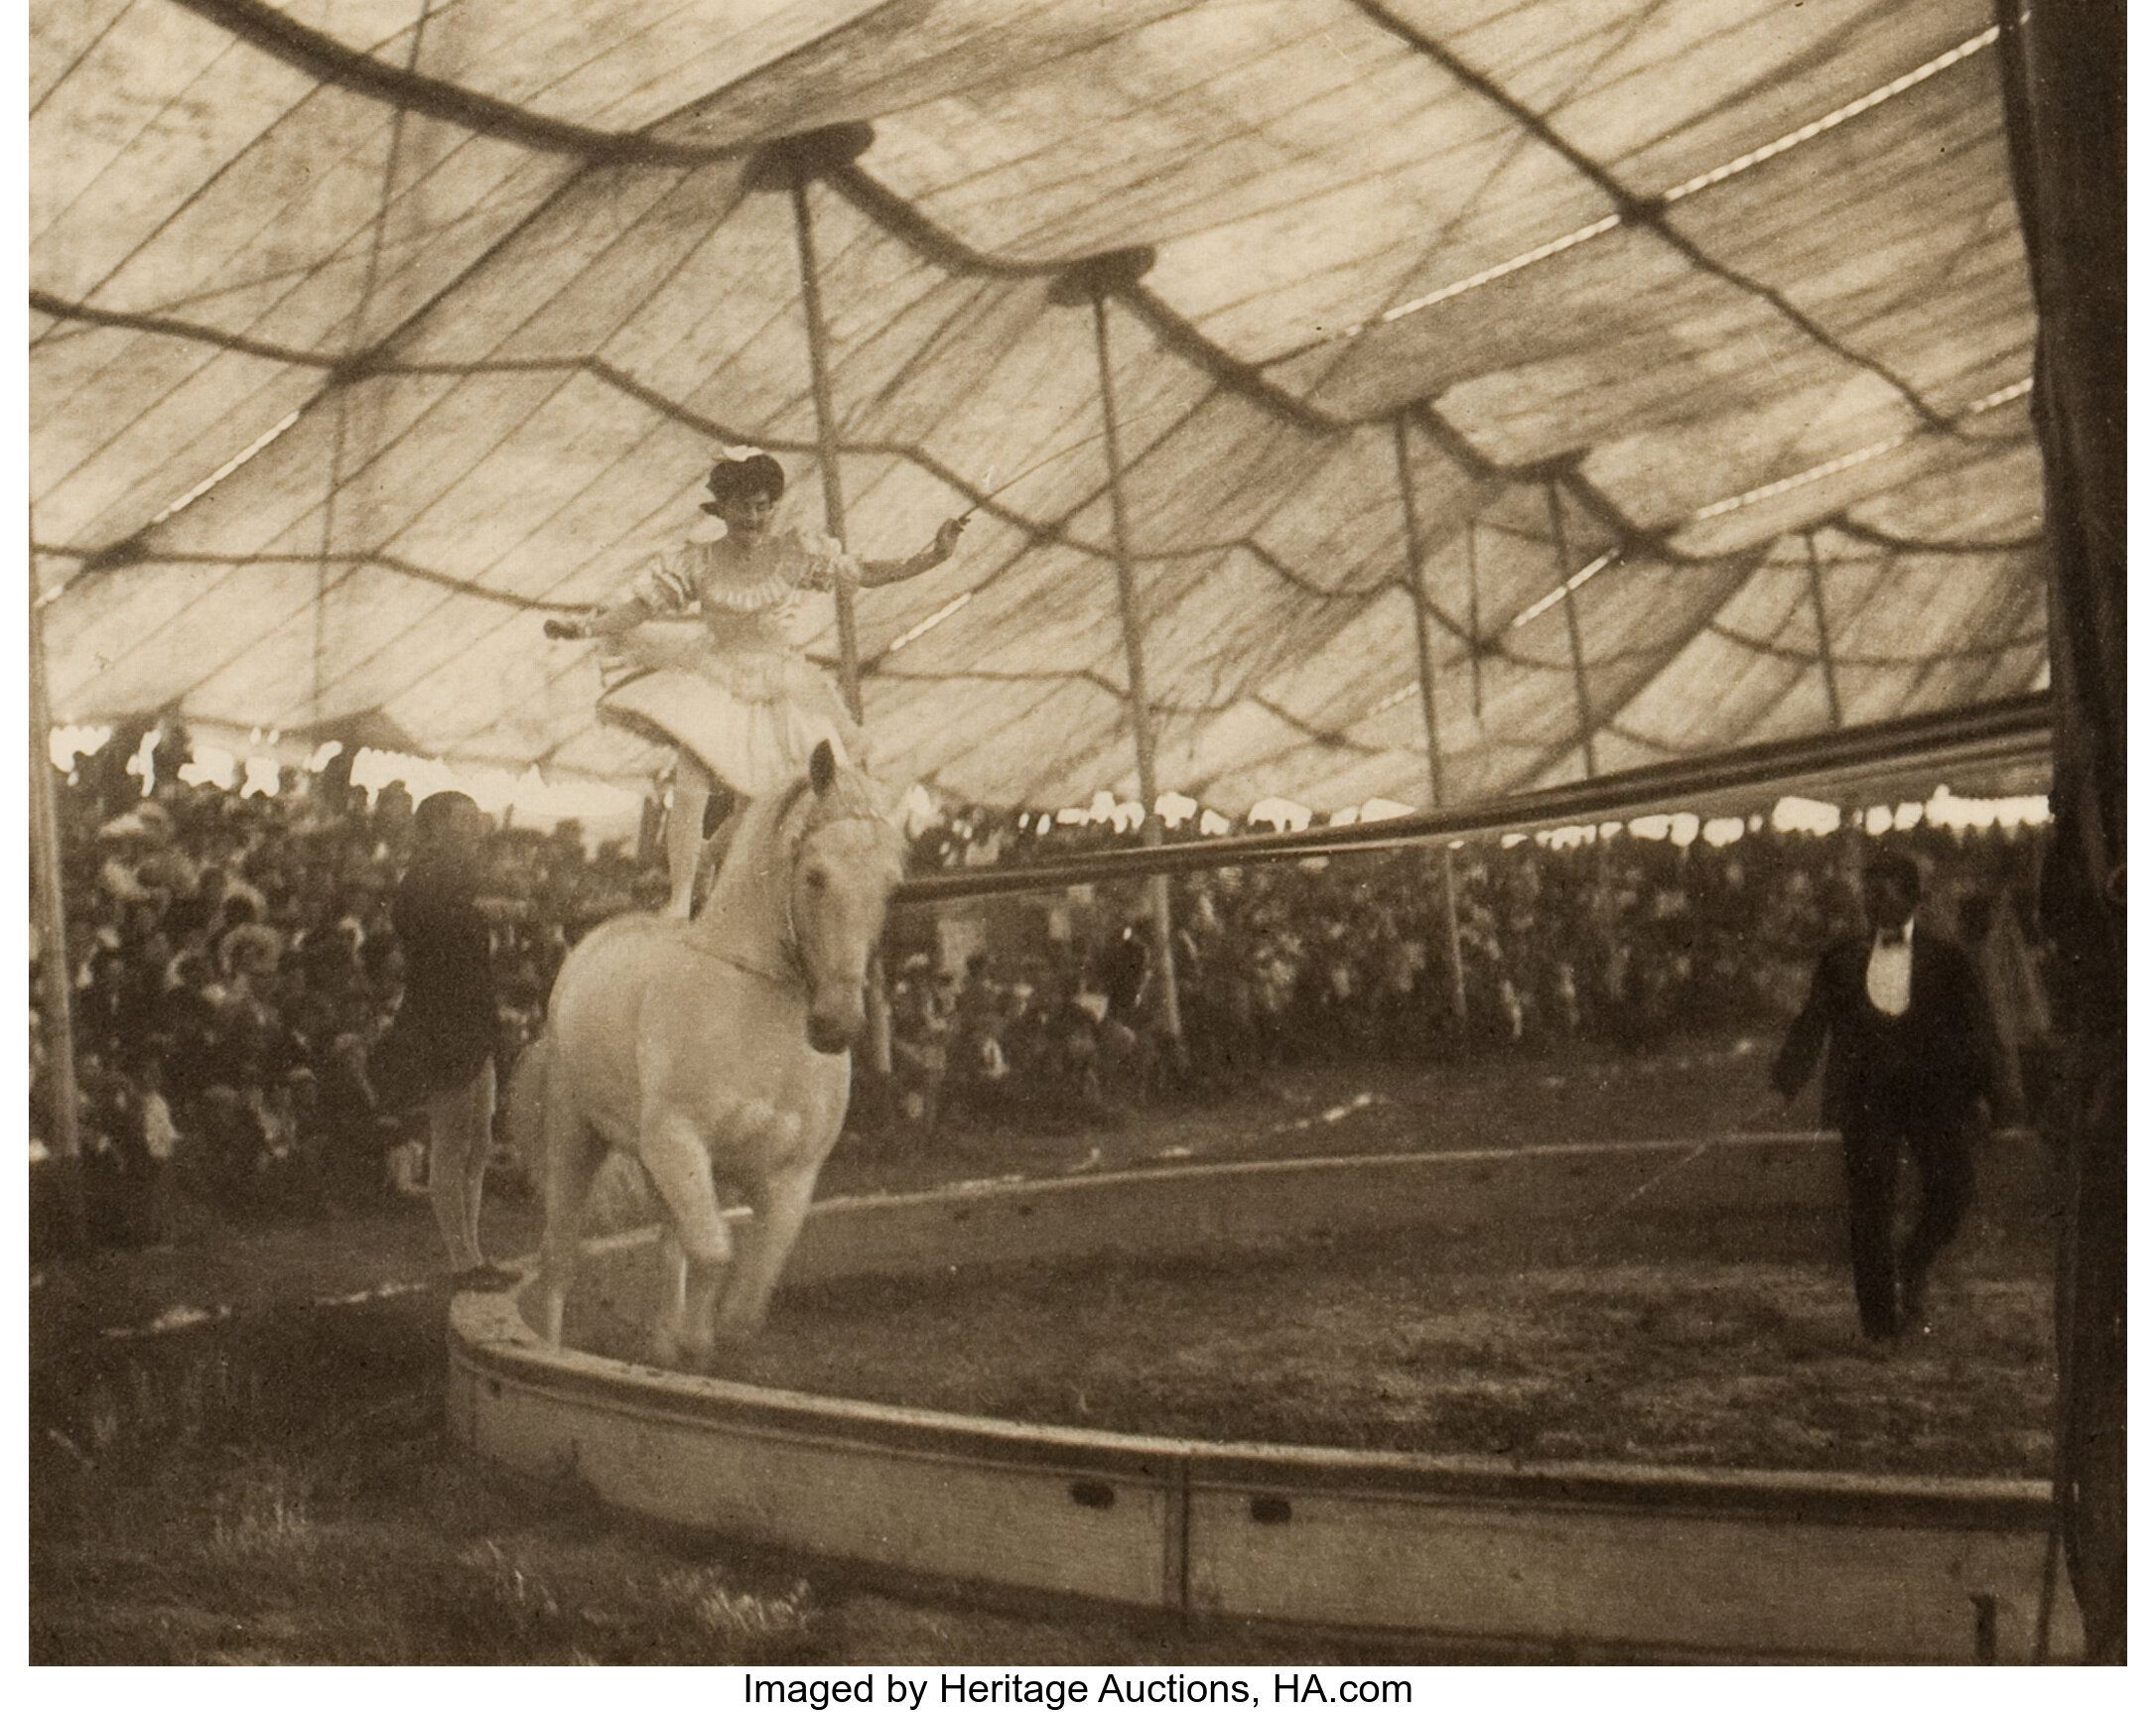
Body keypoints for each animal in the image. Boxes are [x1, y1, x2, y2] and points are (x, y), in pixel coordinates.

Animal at [525, 737, 905, 1363]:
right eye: (815, 876)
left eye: (892, 886)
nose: (837, 1025)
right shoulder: (679, 1142)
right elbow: (713, 1254)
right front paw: (692, 1340)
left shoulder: (790, 1176)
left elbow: (743, 1305)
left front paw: (695, 1346)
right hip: (574, 1131)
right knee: (559, 1257)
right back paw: (554, 1353)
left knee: (666, 1241)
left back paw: (660, 1347)